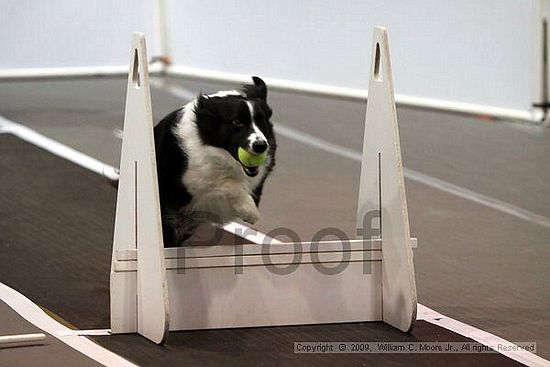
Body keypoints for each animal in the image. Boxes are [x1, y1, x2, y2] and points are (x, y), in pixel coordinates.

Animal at [154, 77, 276, 247]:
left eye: (261, 121)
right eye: (236, 122)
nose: (261, 146)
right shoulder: (191, 179)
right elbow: (226, 183)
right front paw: (248, 210)